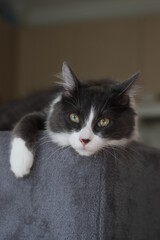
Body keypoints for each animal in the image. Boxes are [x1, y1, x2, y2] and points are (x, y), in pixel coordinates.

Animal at [0, 62, 139, 178]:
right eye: (74, 117)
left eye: (104, 121)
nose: (84, 140)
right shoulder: (46, 113)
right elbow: (26, 120)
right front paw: (20, 163)